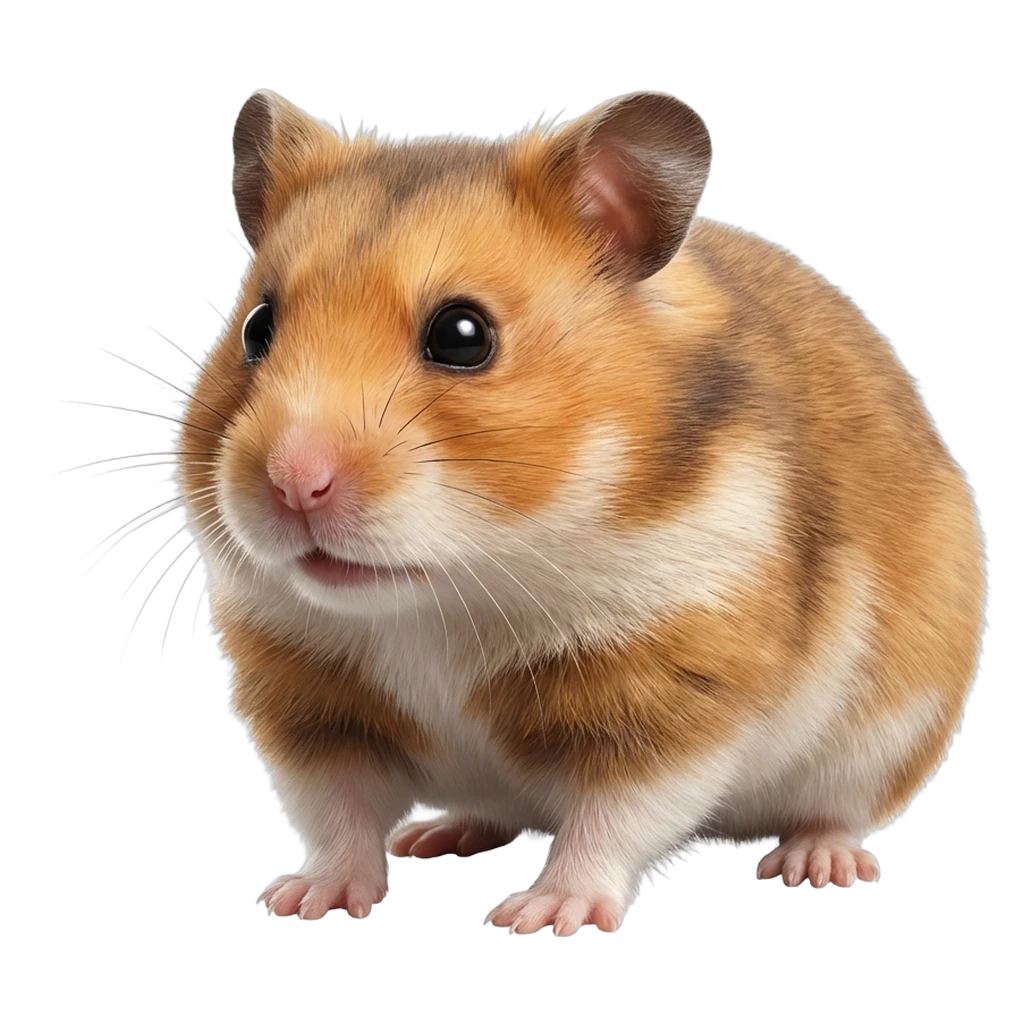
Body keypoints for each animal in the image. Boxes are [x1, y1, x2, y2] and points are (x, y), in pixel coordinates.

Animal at [178, 88, 988, 934]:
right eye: (257, 327)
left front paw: (541, 914)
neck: (448, 595)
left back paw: (815, 865)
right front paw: (304, 900)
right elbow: (337, 814)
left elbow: (612, 818)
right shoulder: (308, 702)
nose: (292, 484)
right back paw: (438, 834)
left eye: (463, 335)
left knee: (836, 812)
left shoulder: (672, 692)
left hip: (889, 731)